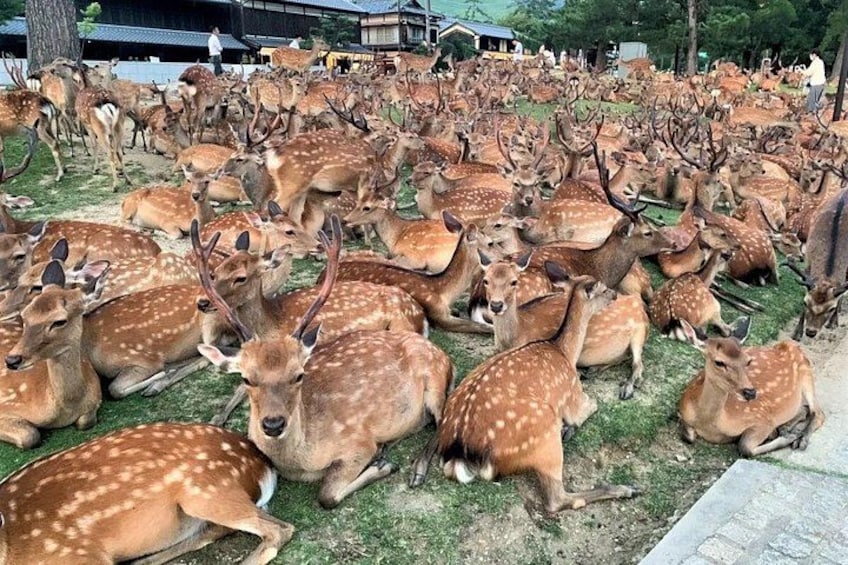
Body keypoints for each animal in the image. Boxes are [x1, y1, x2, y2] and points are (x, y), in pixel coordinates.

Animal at [0, 259, 108, 449]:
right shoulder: (6, 404)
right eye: (25, 315)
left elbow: (85, 421)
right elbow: (30, 436)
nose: (12, 360)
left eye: (59, 321)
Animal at [196, 217, 454, 507]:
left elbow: (327, 496)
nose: (273, 424)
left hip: (434, 380)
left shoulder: (358, 441)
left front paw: (382, 465)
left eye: (299, 375)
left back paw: (415, 468)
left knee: (442, 421)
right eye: (247, 377)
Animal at [437, 264, 640, 513]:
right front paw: (571, 426)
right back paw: (626, 489)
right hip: (545, 433)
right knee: (556, 498)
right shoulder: (574, 395)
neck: (565, 352)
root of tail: (461, 451)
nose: (614, 295)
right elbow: (593, 404)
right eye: (602, 288)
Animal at [479, 253, 650, 400]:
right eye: (485, 280)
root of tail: (640, 307)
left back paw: (626, 388)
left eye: (514, 281)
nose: (496, 306)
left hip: (639, 333)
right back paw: (592, 370)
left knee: (637, 364)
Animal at [678, 320, 824, 457]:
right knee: (805, 409)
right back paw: (786, 428)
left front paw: (790, 436)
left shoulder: (762, 418)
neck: (709, 425)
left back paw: (800, 439)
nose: (750, 392)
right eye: (719, 362)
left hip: (806, 371)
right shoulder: (683, 412)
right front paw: (786, 433)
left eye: (748, 361)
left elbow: (745, 447)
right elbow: (688, 436)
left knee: (818, 413)